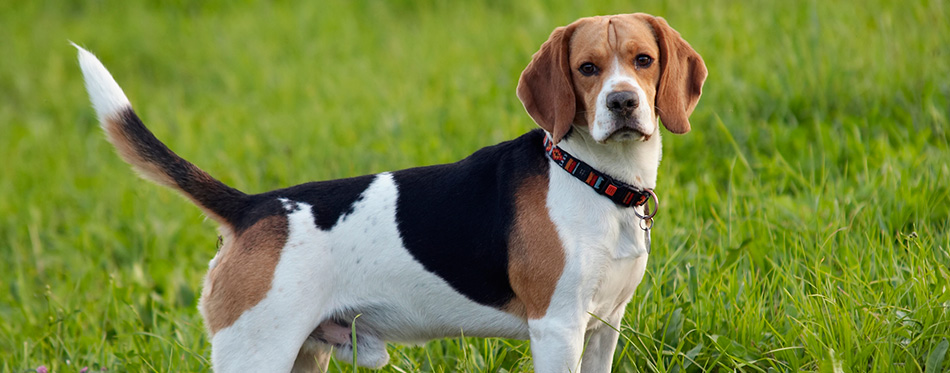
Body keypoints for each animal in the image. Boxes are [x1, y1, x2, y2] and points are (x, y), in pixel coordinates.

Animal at [76, 12, 708, 372]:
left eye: (643, 60)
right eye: (586, 68)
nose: (622, 103)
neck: (593, 176)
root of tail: (253, 207)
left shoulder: (603, 328)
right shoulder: (556, 329)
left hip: (304, 355)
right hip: (256, 352)